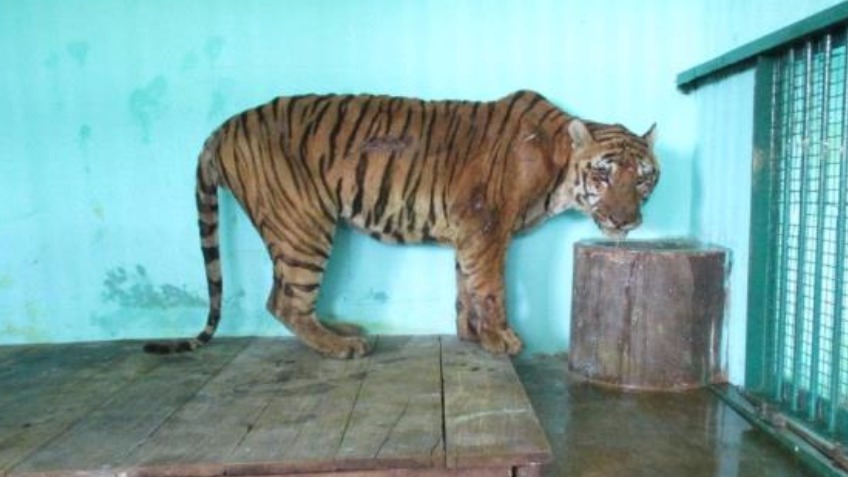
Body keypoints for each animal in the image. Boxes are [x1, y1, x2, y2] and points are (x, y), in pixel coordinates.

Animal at [143, 90, 659, 358]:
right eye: (604, 174)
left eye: (644, 177)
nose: (626, 219)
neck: (559, 167)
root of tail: (220, 128)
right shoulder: (486, 227)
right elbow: (492, 288)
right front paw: (501, 339)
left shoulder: (469, 232)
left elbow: (467, 286)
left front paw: (472, 334)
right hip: (303, 225)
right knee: (284, 301)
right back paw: (340, 347)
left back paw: (342, 329)